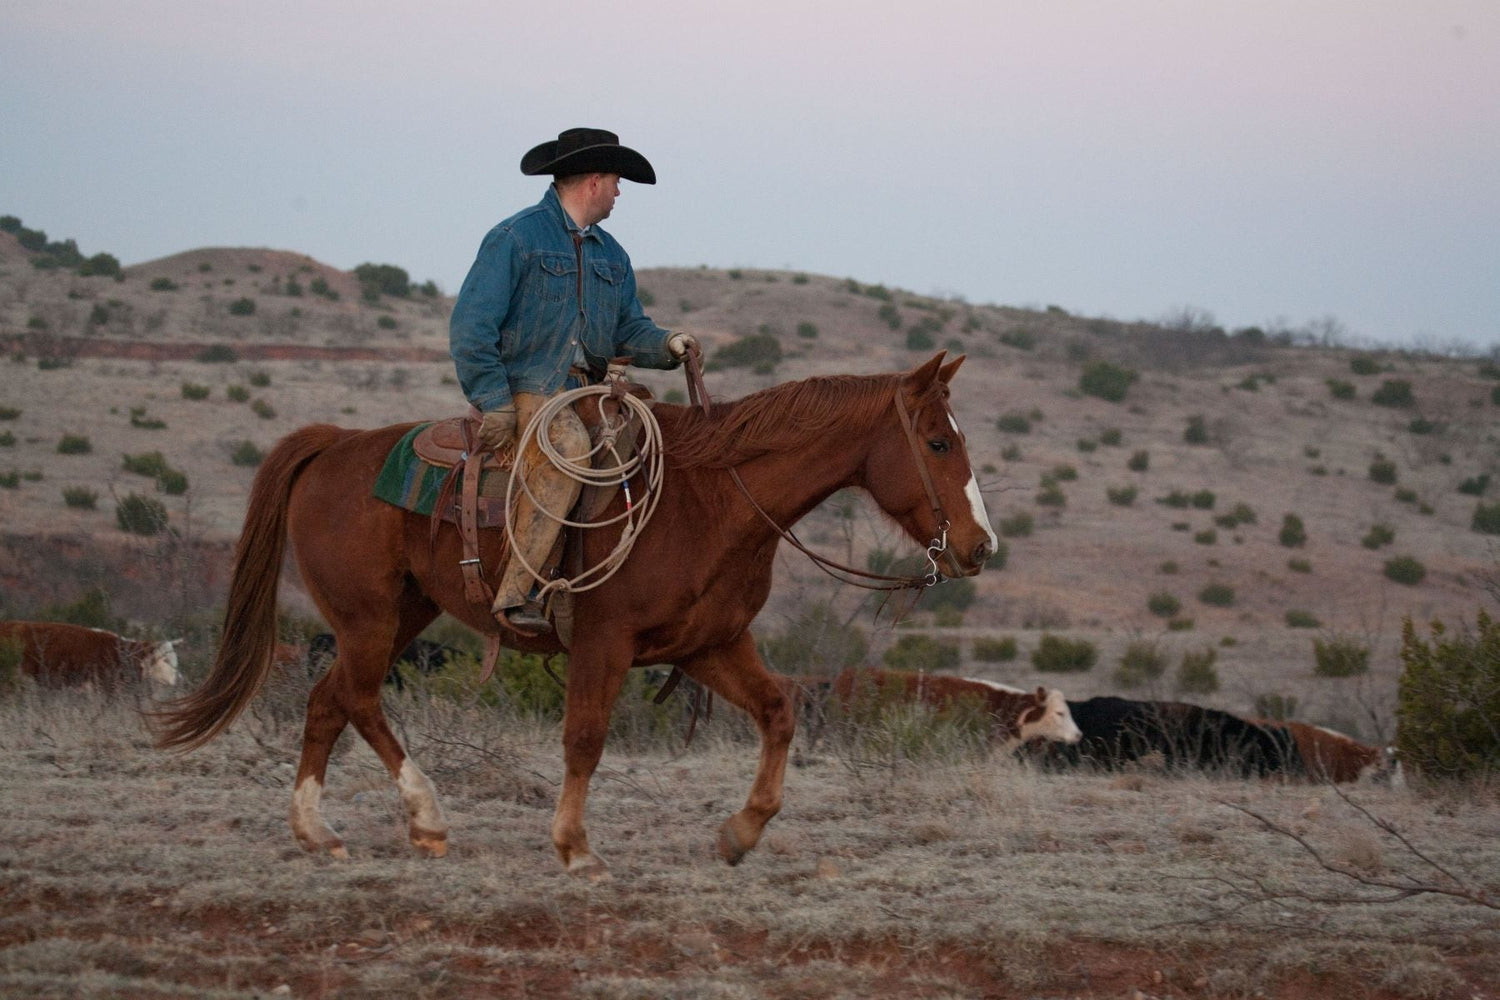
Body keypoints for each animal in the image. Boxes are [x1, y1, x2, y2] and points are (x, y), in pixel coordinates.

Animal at [155, 352, 996, 875]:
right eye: (937, 442)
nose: (981, 546)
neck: (709, 501)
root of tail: (332, 444)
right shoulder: (605, 642)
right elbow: (586, 739)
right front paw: (575, 848)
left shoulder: (710, 645)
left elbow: (779, 713)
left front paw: (739, 833)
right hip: (366, 620)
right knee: (357, 699)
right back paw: (426, 817)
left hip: (401, 617)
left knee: (328, 702)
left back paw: (318, 831)